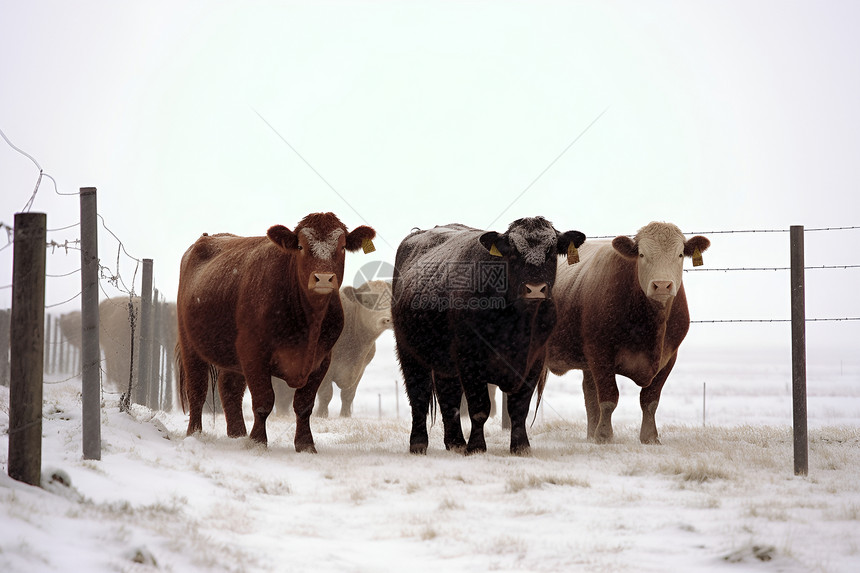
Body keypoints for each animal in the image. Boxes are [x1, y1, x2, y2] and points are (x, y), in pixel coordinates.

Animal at [176, 211, 374, 452]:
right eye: (300, 246)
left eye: (343, 246)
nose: (324, 278)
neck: (309, 321)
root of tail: (207, 237)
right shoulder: (254, 353)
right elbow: (263, 401)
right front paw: (258, 441)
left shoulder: (322, 360)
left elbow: (304, 404)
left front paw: (305, 444)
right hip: (190, 345)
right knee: (197, 388)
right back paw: (195, 432)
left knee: (229, 388)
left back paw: (237, 434)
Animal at [394, 217, 584, 454]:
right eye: (513, 251)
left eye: (551, 251)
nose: (535, 288)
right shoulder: (469, 360)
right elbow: (480, 408)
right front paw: (476, 446)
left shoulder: (534, 362)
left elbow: (519, 409)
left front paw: (521, 446)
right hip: (409, 352)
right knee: (418, 395)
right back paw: (419, 443)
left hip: (445, 363)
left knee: (449, 397)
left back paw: (455, 443)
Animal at [548, 221, 708, 444]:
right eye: (641, 254)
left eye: (679, 255)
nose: (662, 285)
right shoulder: (600, 353)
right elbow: (609, 399)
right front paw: (604, 436)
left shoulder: (669, 357)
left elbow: (650, 401)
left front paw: (650, 437)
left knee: (589, 396)